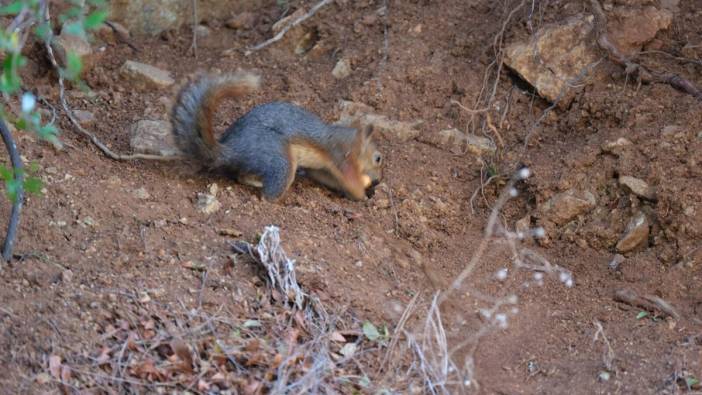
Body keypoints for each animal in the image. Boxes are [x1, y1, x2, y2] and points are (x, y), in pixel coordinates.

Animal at [171, 71, 384, 203]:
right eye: (378, 158)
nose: (378, 180)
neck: (352, 141)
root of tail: (231, 150)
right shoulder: (342, 157)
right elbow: (351, 180)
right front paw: (362, 195)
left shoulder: (324, 168)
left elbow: (328, 178)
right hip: (280, 160)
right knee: (267, 193)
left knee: (241, 175)